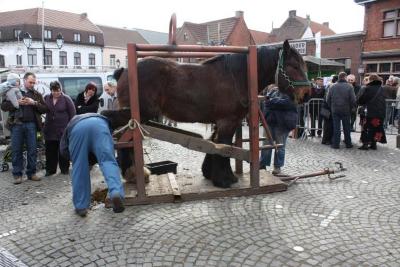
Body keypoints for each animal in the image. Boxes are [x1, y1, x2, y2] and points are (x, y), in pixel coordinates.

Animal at [103, 40, 310, 188]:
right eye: (294, 66)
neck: (238, 76)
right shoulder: (228, 121)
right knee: (120, 132)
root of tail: (124, 70)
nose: (308, 94)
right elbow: (224, 147)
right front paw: (224, 179)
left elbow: (214, 144)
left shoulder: (221, 121)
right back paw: (131, 172)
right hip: (137, 115)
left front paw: (210, 173)